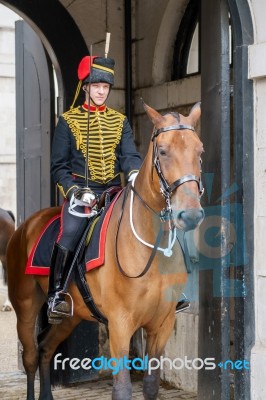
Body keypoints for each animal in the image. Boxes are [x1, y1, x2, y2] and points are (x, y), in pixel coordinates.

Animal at [7, 103, 205, 400]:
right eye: (162, 151)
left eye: (199, 150)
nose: (190, 214)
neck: (151, 249)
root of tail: (26, 225)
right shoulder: (120, 324)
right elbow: (122, 388)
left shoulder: (162, 323)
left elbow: (151, 385)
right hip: (26, 305)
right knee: (30, 355)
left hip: (70, 316)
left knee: (45, 348)